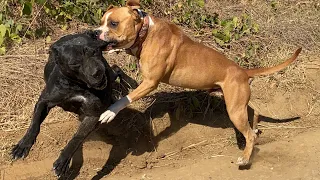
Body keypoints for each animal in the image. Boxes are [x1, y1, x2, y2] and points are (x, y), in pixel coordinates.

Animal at [10, 30, 136, 177]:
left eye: (94, 51)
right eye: (75, 64)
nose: (97, 72)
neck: (79, 85)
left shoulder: (93, 114)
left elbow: (77, 138)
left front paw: (63, 161)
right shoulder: (44, 101)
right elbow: (34, 124)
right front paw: (23, 145)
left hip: (109, 73)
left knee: (116, 69)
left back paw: (132, 84)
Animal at [96, 0, 302, 166]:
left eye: (113, 23)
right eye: (101, 22)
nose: (95, 32)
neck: (146, 33)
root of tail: (243, 71)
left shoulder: (150, 82)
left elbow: (125, 99)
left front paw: (109, 112)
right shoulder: (144, 80)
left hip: (234, 110)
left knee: (250, 135)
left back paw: (245, 159)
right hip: (238, 104)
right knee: (254, 113)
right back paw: (255, 128)